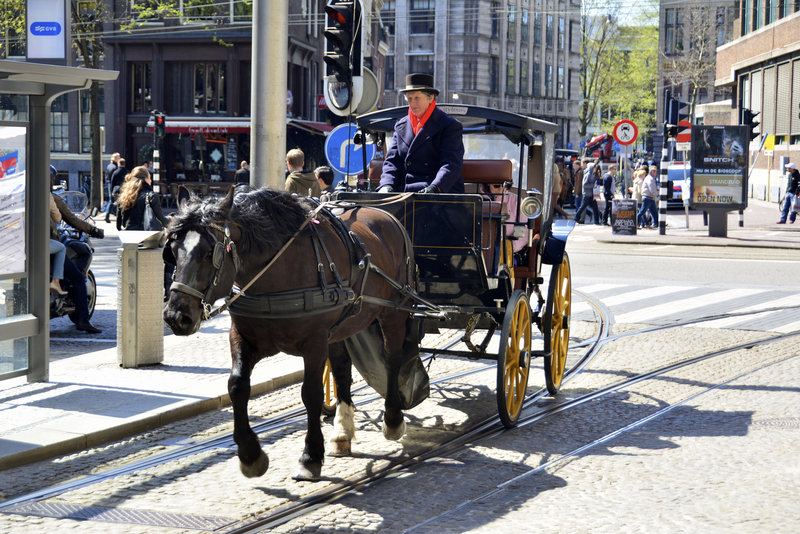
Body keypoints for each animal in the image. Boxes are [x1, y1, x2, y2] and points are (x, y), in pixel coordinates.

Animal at [160, 187, 416, 482]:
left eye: (208, 253)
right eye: (172, 251)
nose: (175, 316)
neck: (275, 274)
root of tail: (385, 215)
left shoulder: (315, 341)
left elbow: (311, 393)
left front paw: (310, 457)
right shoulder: (243, 337)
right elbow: (237, 386)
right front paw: (250, 455)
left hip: (393, 311)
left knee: (392, 358)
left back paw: (393, 420)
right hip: (341, 327)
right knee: (342, 369)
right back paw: (342, 432)